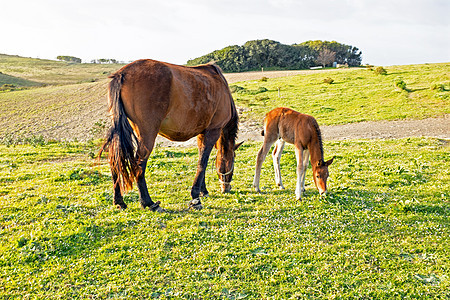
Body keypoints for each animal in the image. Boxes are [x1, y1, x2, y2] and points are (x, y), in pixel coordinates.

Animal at [98, 59, 241, 211]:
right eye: (233, 159)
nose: (226, 188)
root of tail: (122, 74)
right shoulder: (213, 131)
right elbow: (203, 162)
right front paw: (195, 197)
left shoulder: (201, 134)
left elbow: (201, 159)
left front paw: (203, 191)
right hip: (147, 135)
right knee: (139, 165)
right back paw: (148, 202)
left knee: (115, 161)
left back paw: (119, 201)